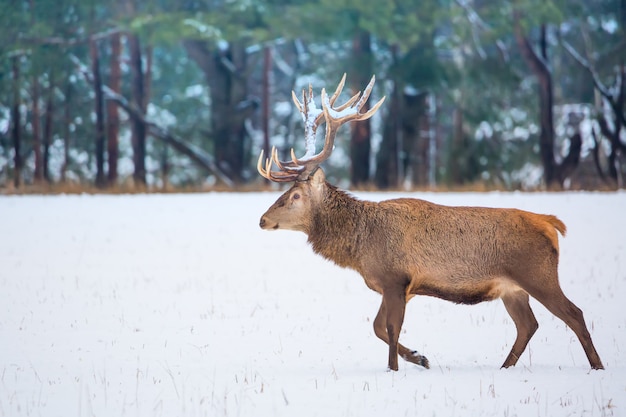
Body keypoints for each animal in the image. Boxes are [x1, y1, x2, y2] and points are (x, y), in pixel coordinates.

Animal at [256, 73, 604, 368]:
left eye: (295, 195)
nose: (262, 220)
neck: (360, 247)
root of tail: (551, 223)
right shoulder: (395, 285)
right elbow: (377, 327)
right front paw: (419, 357)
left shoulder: (396, 278)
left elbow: (390, 327)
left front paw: (395, 368)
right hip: (512, 288)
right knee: (528, 325)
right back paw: (505, 368)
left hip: (539, 274)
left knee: (574, 314)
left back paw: (597, 366)